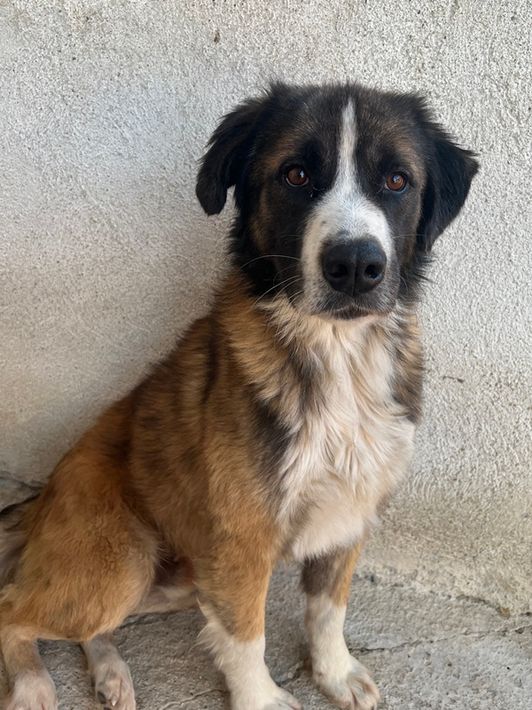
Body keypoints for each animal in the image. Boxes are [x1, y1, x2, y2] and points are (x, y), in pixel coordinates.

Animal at [0, 82, 478, 710]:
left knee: (90, 627)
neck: (337, 354)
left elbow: (328, 611)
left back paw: (110, 672)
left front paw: (333, 672)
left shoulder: (350, 512)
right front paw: (263, 698)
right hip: (121, 563)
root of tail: (39, 506)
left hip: (176, 579)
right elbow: (247, 635)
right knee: (11, 608)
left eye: (397, 180)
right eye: (296, 174)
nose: (355, 266)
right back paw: (32, 683)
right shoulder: (242, 540)